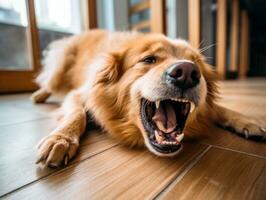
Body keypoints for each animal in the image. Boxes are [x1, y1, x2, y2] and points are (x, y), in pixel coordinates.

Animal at [31, 29, 266, 167]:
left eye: (196, 65)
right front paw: (61, 139)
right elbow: (77, 114)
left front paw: (248, 121)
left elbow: (219, 108)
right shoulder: (79, 93)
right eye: (149, 59)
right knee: (47, 81)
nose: (187, 73)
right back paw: (37, 96)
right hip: (59, 69)